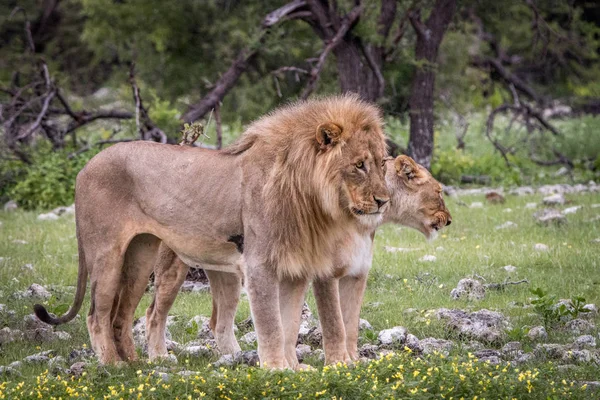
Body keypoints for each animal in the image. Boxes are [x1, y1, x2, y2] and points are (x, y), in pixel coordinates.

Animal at [34, 94, 390, 368]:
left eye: (383, 163)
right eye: (359, 165)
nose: (384, 201)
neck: (311, 200)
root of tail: (84, 168)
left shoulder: (297, 269)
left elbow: (290, 325)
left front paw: (295, 368)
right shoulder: (261, 265)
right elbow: (274, 325)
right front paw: (278, 369)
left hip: (140, 258)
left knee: (122, 316)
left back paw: (137, 364)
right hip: (108, 256)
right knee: (98, 315)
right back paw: (113, 365)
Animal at [142, 155, 450, 368]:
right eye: (439, 192)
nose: (449, 220)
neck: (365, 223)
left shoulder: (357, 274)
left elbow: (350, 324)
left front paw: (354, 361)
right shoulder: (325, 273)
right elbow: (334, 324)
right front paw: (339, 364)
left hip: (228, 276)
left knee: (219, 321)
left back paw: (239, 358)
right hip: (173, 268)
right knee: (154, 314)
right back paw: (160, 358)